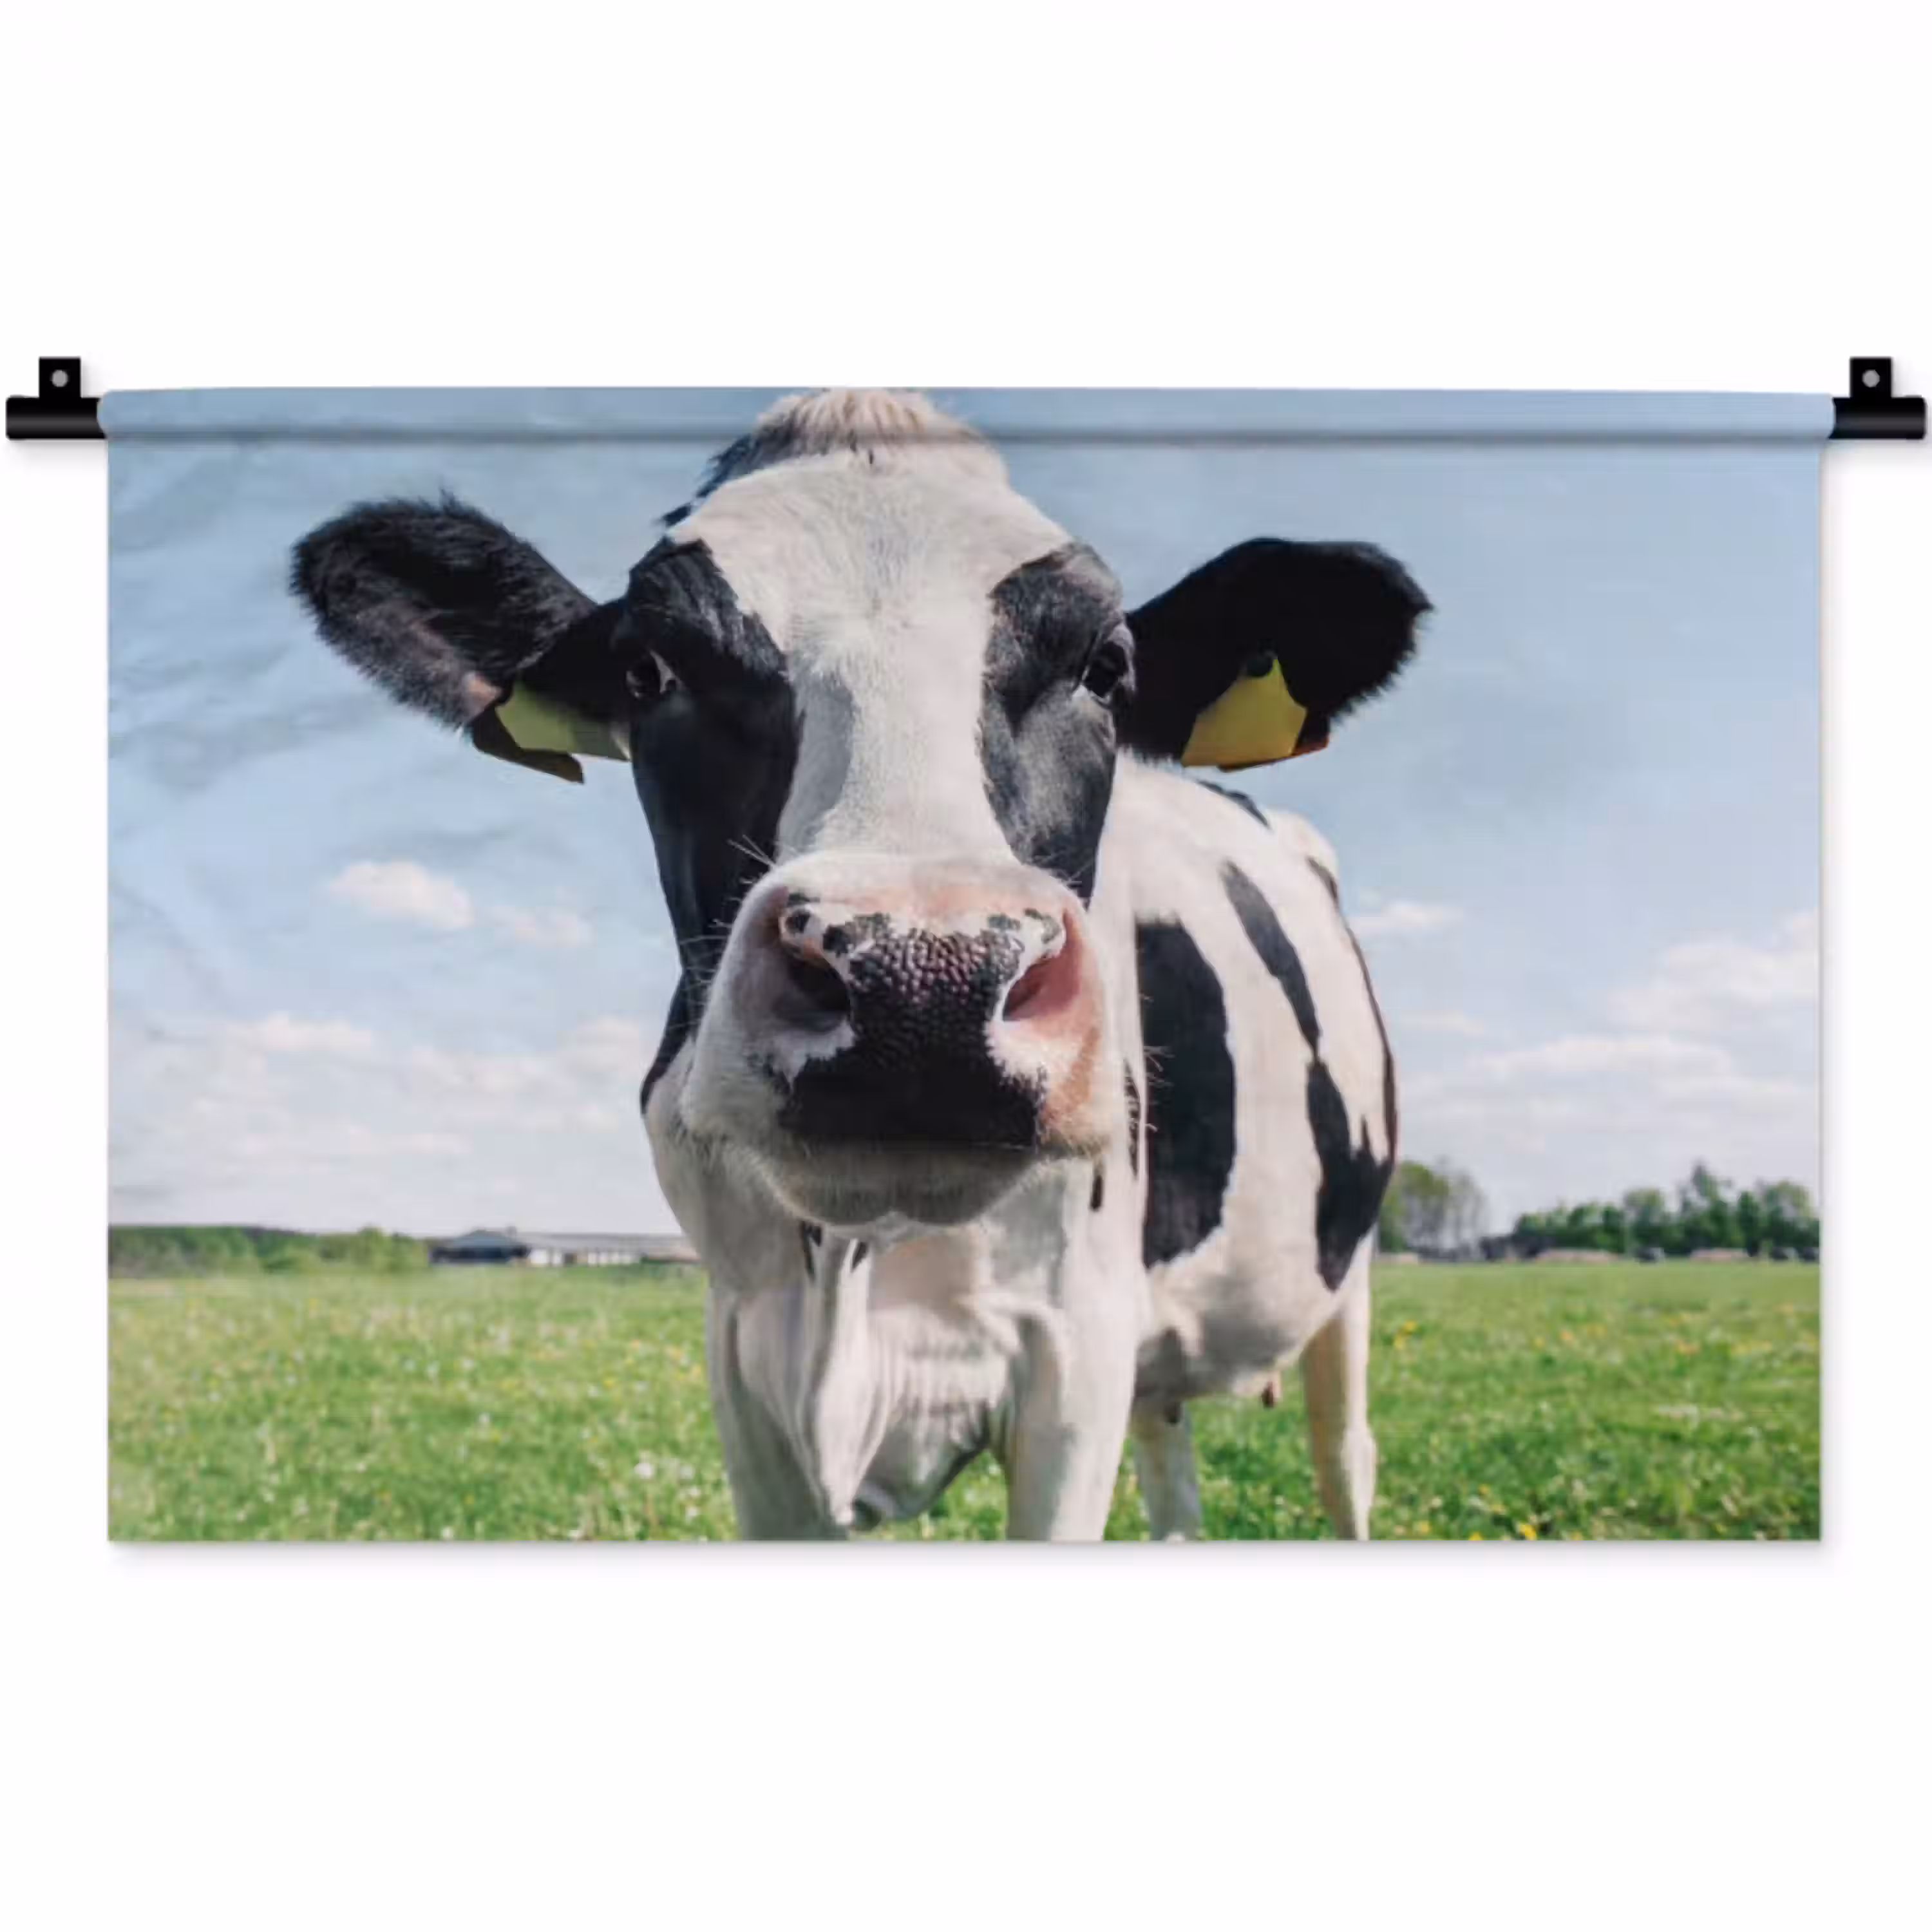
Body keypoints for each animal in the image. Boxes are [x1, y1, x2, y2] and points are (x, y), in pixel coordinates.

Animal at [291, 389, 1426, 1540]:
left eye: (1105, 667)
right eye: (650, 671)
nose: (924, 986)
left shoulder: (1079, 1350)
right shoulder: (745, 1357)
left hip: (1346, 1279)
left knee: (1347, 1457)